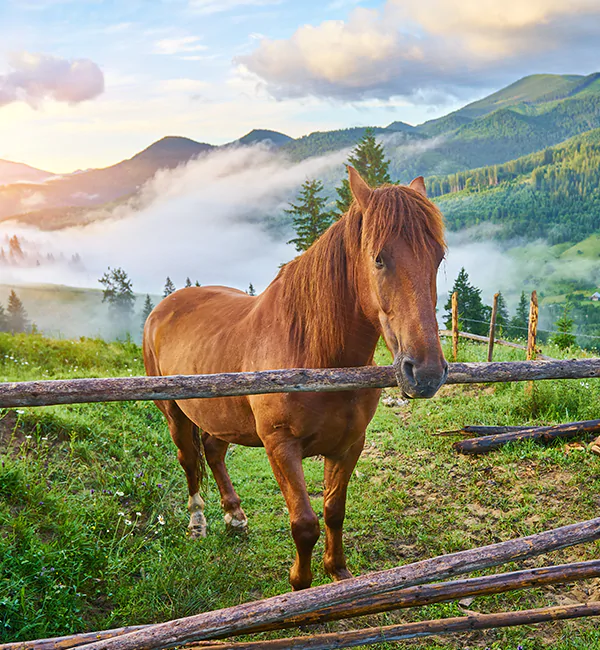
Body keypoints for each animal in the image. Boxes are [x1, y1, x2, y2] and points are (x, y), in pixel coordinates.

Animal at [143, 166, 448, 591]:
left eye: (438, 257)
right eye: (379, 259)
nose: (426, 372)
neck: (316, 358)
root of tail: (163, 308)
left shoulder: (349, 444)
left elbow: (334, 510)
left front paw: (338, 573)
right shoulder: (280, 447)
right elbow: (304, 524)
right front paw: (299, 586)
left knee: (214, 452)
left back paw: (234, 516)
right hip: (173, 412)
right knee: (189, 460)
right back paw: (198, 521)